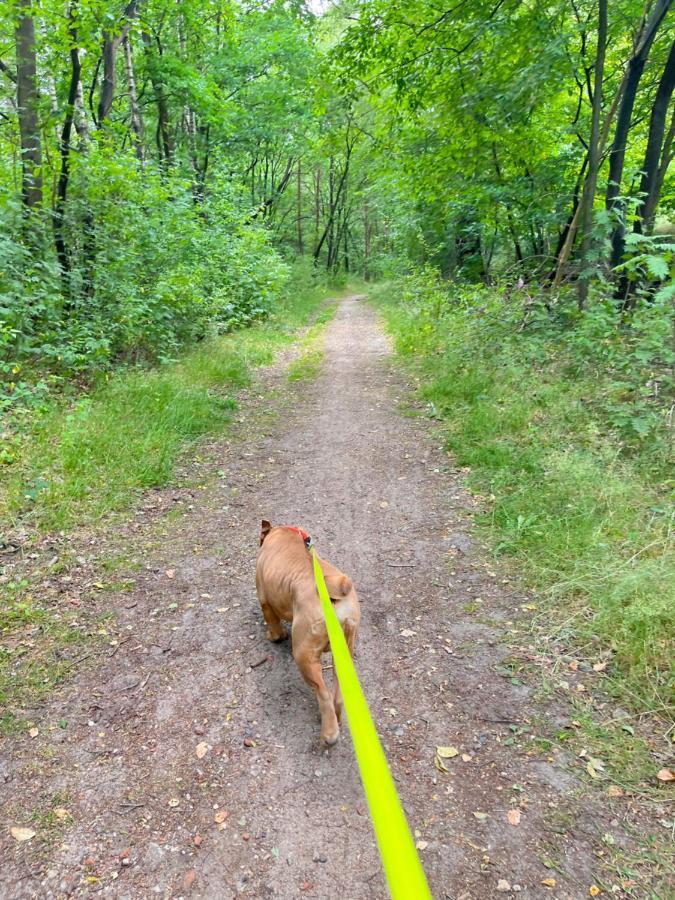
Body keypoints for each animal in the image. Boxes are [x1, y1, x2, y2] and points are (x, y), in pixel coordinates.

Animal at [255, 520, 360, 744]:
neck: (283, 533)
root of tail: (332, 589)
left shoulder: (265, 600)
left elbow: (274, 625)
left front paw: (274, 637)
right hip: (345, 650)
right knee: (337, 693)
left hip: (304, 654)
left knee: (323, 693)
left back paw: (329, 735)